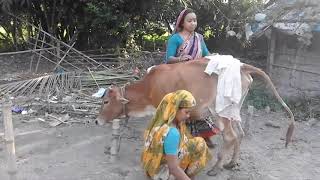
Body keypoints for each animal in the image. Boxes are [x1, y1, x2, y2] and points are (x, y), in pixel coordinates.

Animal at [96, 58, 294, 176]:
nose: (97, 120)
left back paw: (216, 168)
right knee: (240, 134)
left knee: (230, 137)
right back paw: (232, 163)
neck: (149, 86)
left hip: (219, 112)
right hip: (234, 110)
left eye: (106, 101)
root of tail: (242, 66)